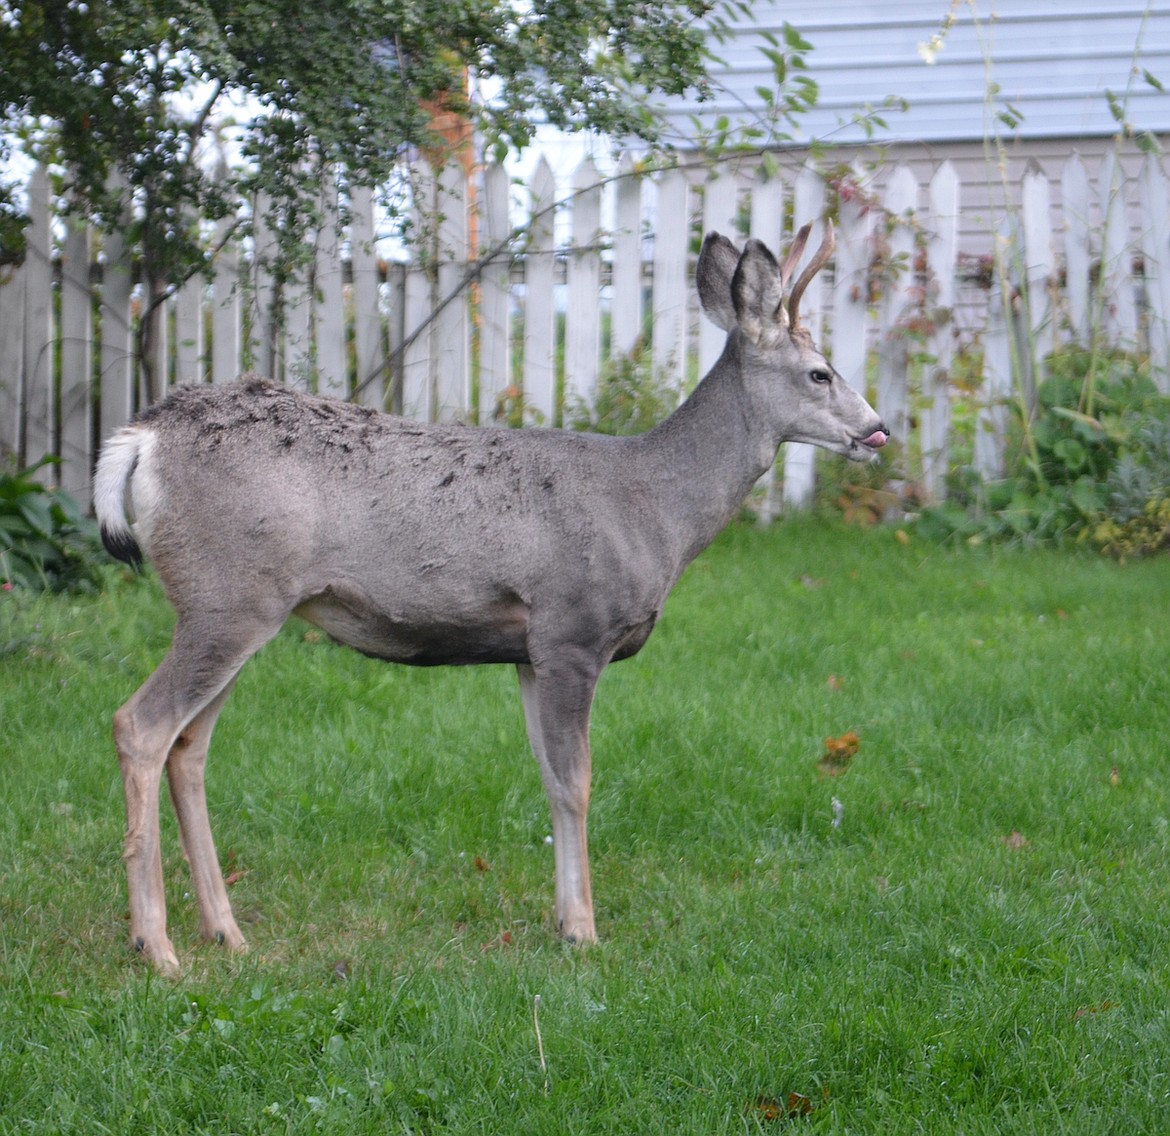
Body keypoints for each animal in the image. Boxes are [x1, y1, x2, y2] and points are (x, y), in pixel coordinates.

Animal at [95, 224, 889, 978]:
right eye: (820, 372)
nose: (878, 429)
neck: (655, 508)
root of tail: (143, 436)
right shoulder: (573, 631)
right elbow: (577, 782)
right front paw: (584, 931)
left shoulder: (529, 654)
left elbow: (548, 778)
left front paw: (564, 919)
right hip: (229, 597)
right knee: (140, 725)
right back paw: (155, 946)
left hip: (239, 608)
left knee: (189, 747)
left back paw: (226, 933)